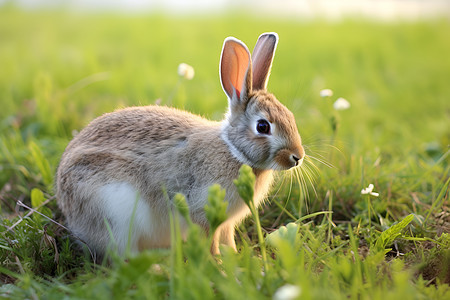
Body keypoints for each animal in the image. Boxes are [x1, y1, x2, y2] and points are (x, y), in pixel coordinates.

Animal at [55, 32, 302, 258]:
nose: (297, 157)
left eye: (290, 116)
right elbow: (210, 242)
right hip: (117, 213)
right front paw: (218, 266)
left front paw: (236, 260)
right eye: (262, 126)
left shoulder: (225, 223)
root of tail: (68, 210)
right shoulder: (202, 212)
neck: (234, 151)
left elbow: (226, 239)